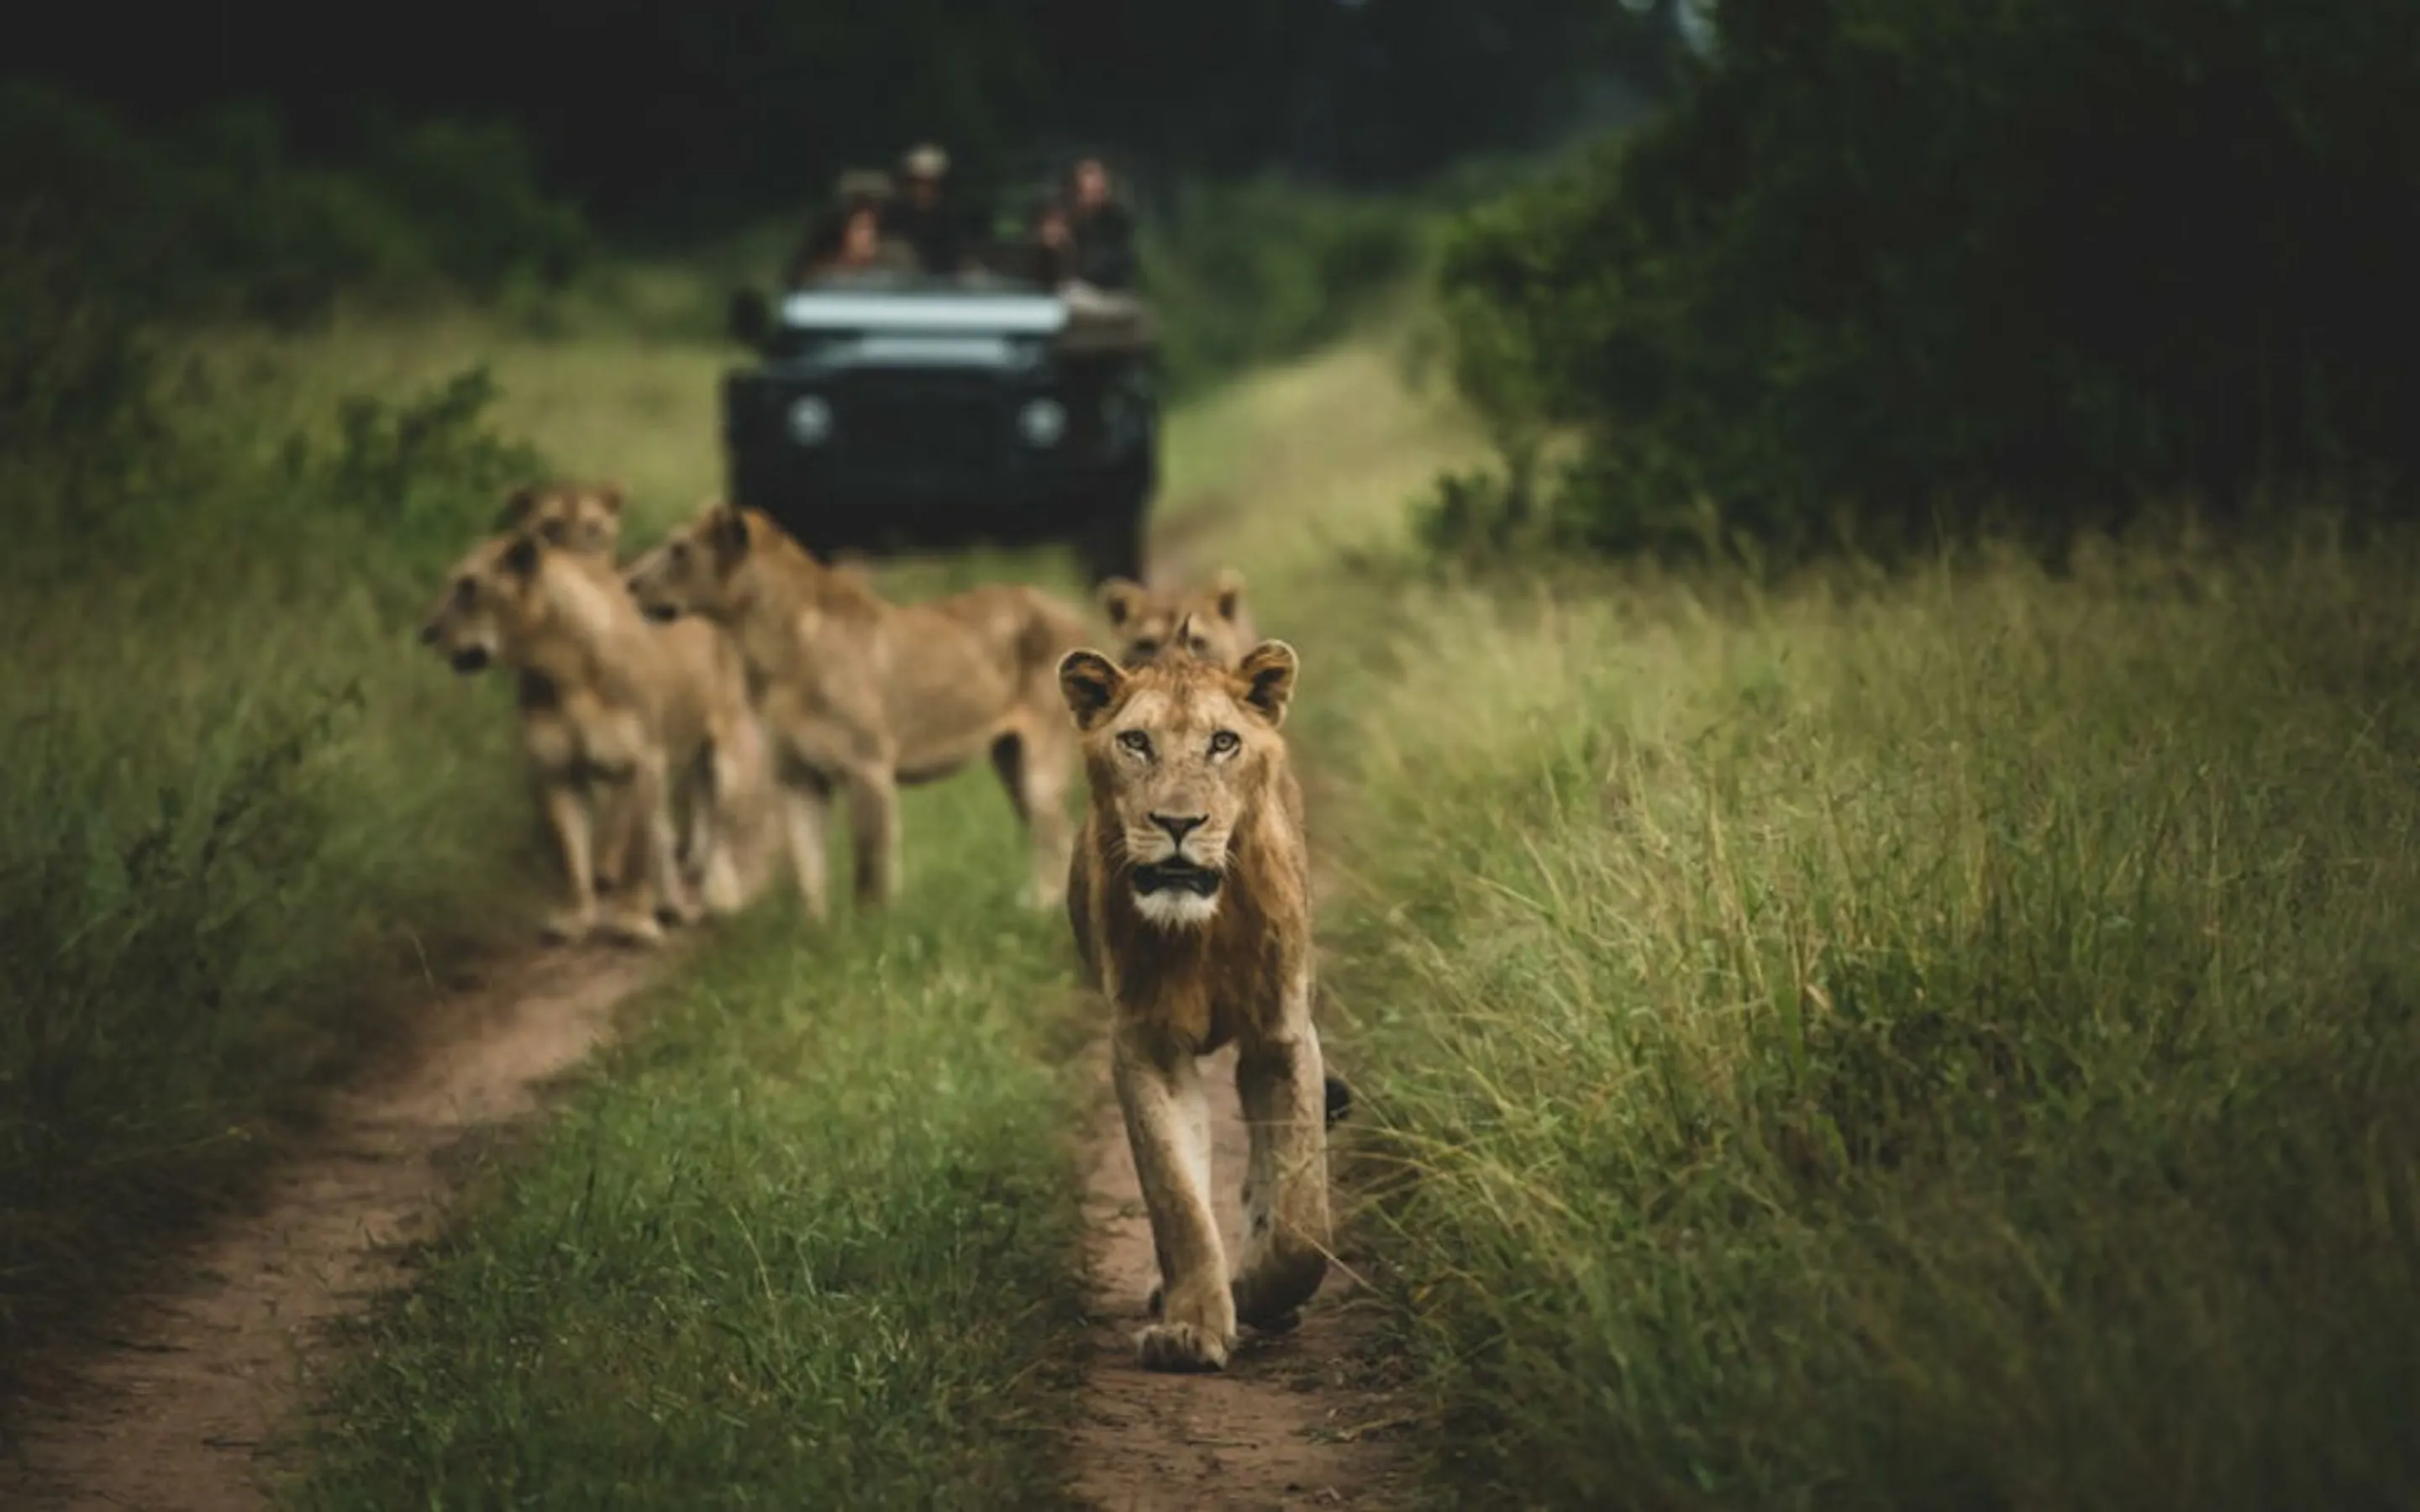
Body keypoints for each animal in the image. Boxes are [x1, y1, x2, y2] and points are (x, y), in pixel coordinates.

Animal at [419, 528, 759, 945]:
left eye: (468, 587)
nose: (426, 633)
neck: (560, 668)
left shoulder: (641, 763)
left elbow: (634, 854)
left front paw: (630, 921)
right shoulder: (557, 772)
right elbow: (573, 854)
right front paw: (576, 918)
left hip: (727, 755)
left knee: (724, 829)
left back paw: (719, 897)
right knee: (666, 834)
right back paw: (671, 906)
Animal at [623, 500, 1091, 917]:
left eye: (678, 549)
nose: (628, 582)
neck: (766, 650)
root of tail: (1070, 610)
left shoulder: (868, 768)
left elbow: (870, 869)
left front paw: (871, 932)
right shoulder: (797, 776)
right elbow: (809, 867)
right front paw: (814, 935)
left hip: (1041, 767)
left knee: (1057, 835)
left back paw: (1041, 912)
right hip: (1010, 760)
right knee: (1054, 837)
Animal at [1059, 637, 1335, 1372]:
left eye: (1222, 743)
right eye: (1135, 742)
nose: (1178, 824)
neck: (1202, 931)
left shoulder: (1282, 1037)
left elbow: (1303, 1216)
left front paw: (1262, 1291)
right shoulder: (1146, 1042)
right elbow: (1176, 1197)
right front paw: (1191, 1327)